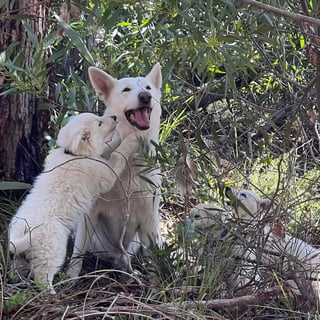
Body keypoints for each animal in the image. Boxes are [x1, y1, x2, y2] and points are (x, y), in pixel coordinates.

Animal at [9, 113, 138, 296]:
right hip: (53, 251)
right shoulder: (105, 172)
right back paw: (52, 294)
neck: (73, 154)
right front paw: (131, 138)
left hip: (19, 255)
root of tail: (25, 233)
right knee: (42, 277)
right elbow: (118, 156)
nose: (114, 117)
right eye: (99, 123)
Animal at [67, 63, 162, 276]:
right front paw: (69, 279)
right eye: (126, 90)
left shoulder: (148, 219)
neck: (131, 162)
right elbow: (76, 257)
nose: (145, 96)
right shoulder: (89, 217)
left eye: (148, 88)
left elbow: (155, 261)